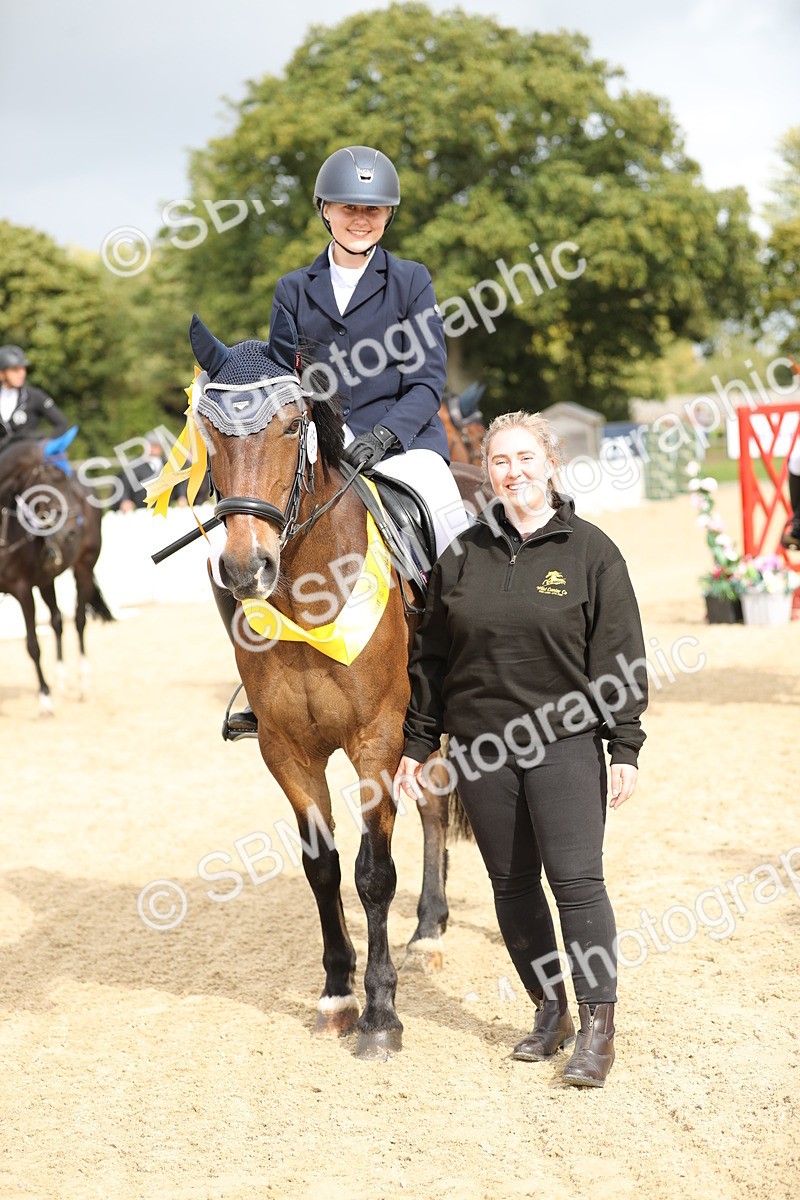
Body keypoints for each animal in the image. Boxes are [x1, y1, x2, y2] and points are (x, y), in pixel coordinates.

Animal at [0, 437, 113, 711]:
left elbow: (32, 645)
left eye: (65, 478)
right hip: (45, 580)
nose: (71, 531)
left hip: (84, 567)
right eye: (54, 478)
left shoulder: (22, 590)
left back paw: (82, 683)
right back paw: (61, 681)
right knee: (57, 621)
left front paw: (45, 699)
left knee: (79, 620)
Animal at [184, 311, 485, 1058]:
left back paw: (430, 933)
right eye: (208, 430)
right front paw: (337, 994)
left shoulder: (376, 739)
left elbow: (373, 873)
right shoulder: (287, 749)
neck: (309, 587)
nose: (246, 568)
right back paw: (428, 929)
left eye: (293, 424)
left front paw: (381, 1015)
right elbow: (322, 868)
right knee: (432, 804)